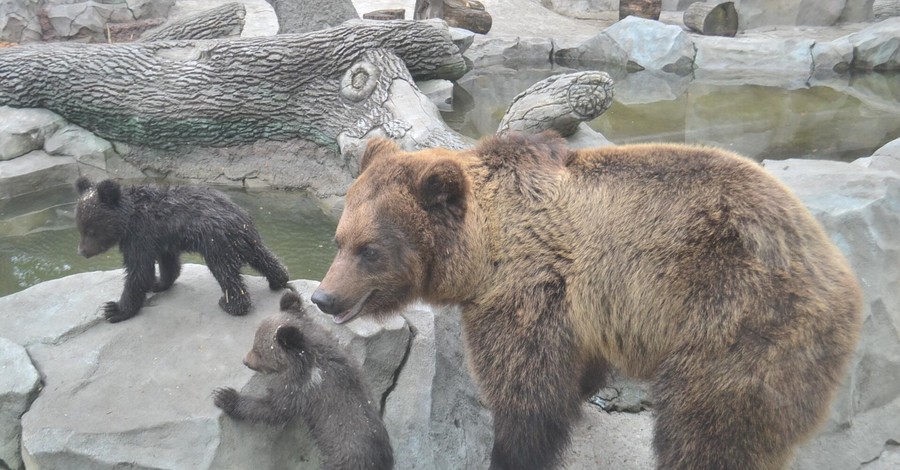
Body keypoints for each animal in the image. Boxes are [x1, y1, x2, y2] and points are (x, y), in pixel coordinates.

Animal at [312, 132, 864, 470]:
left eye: (369, 249)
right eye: (339, 239)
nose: (324, 297)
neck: (485, 249)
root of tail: (843, 278)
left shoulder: (526, 292)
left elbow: (527, 396)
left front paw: (510, 452)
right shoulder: (584, 309)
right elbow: (575, 371)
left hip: (739, 319)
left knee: (711, 428)